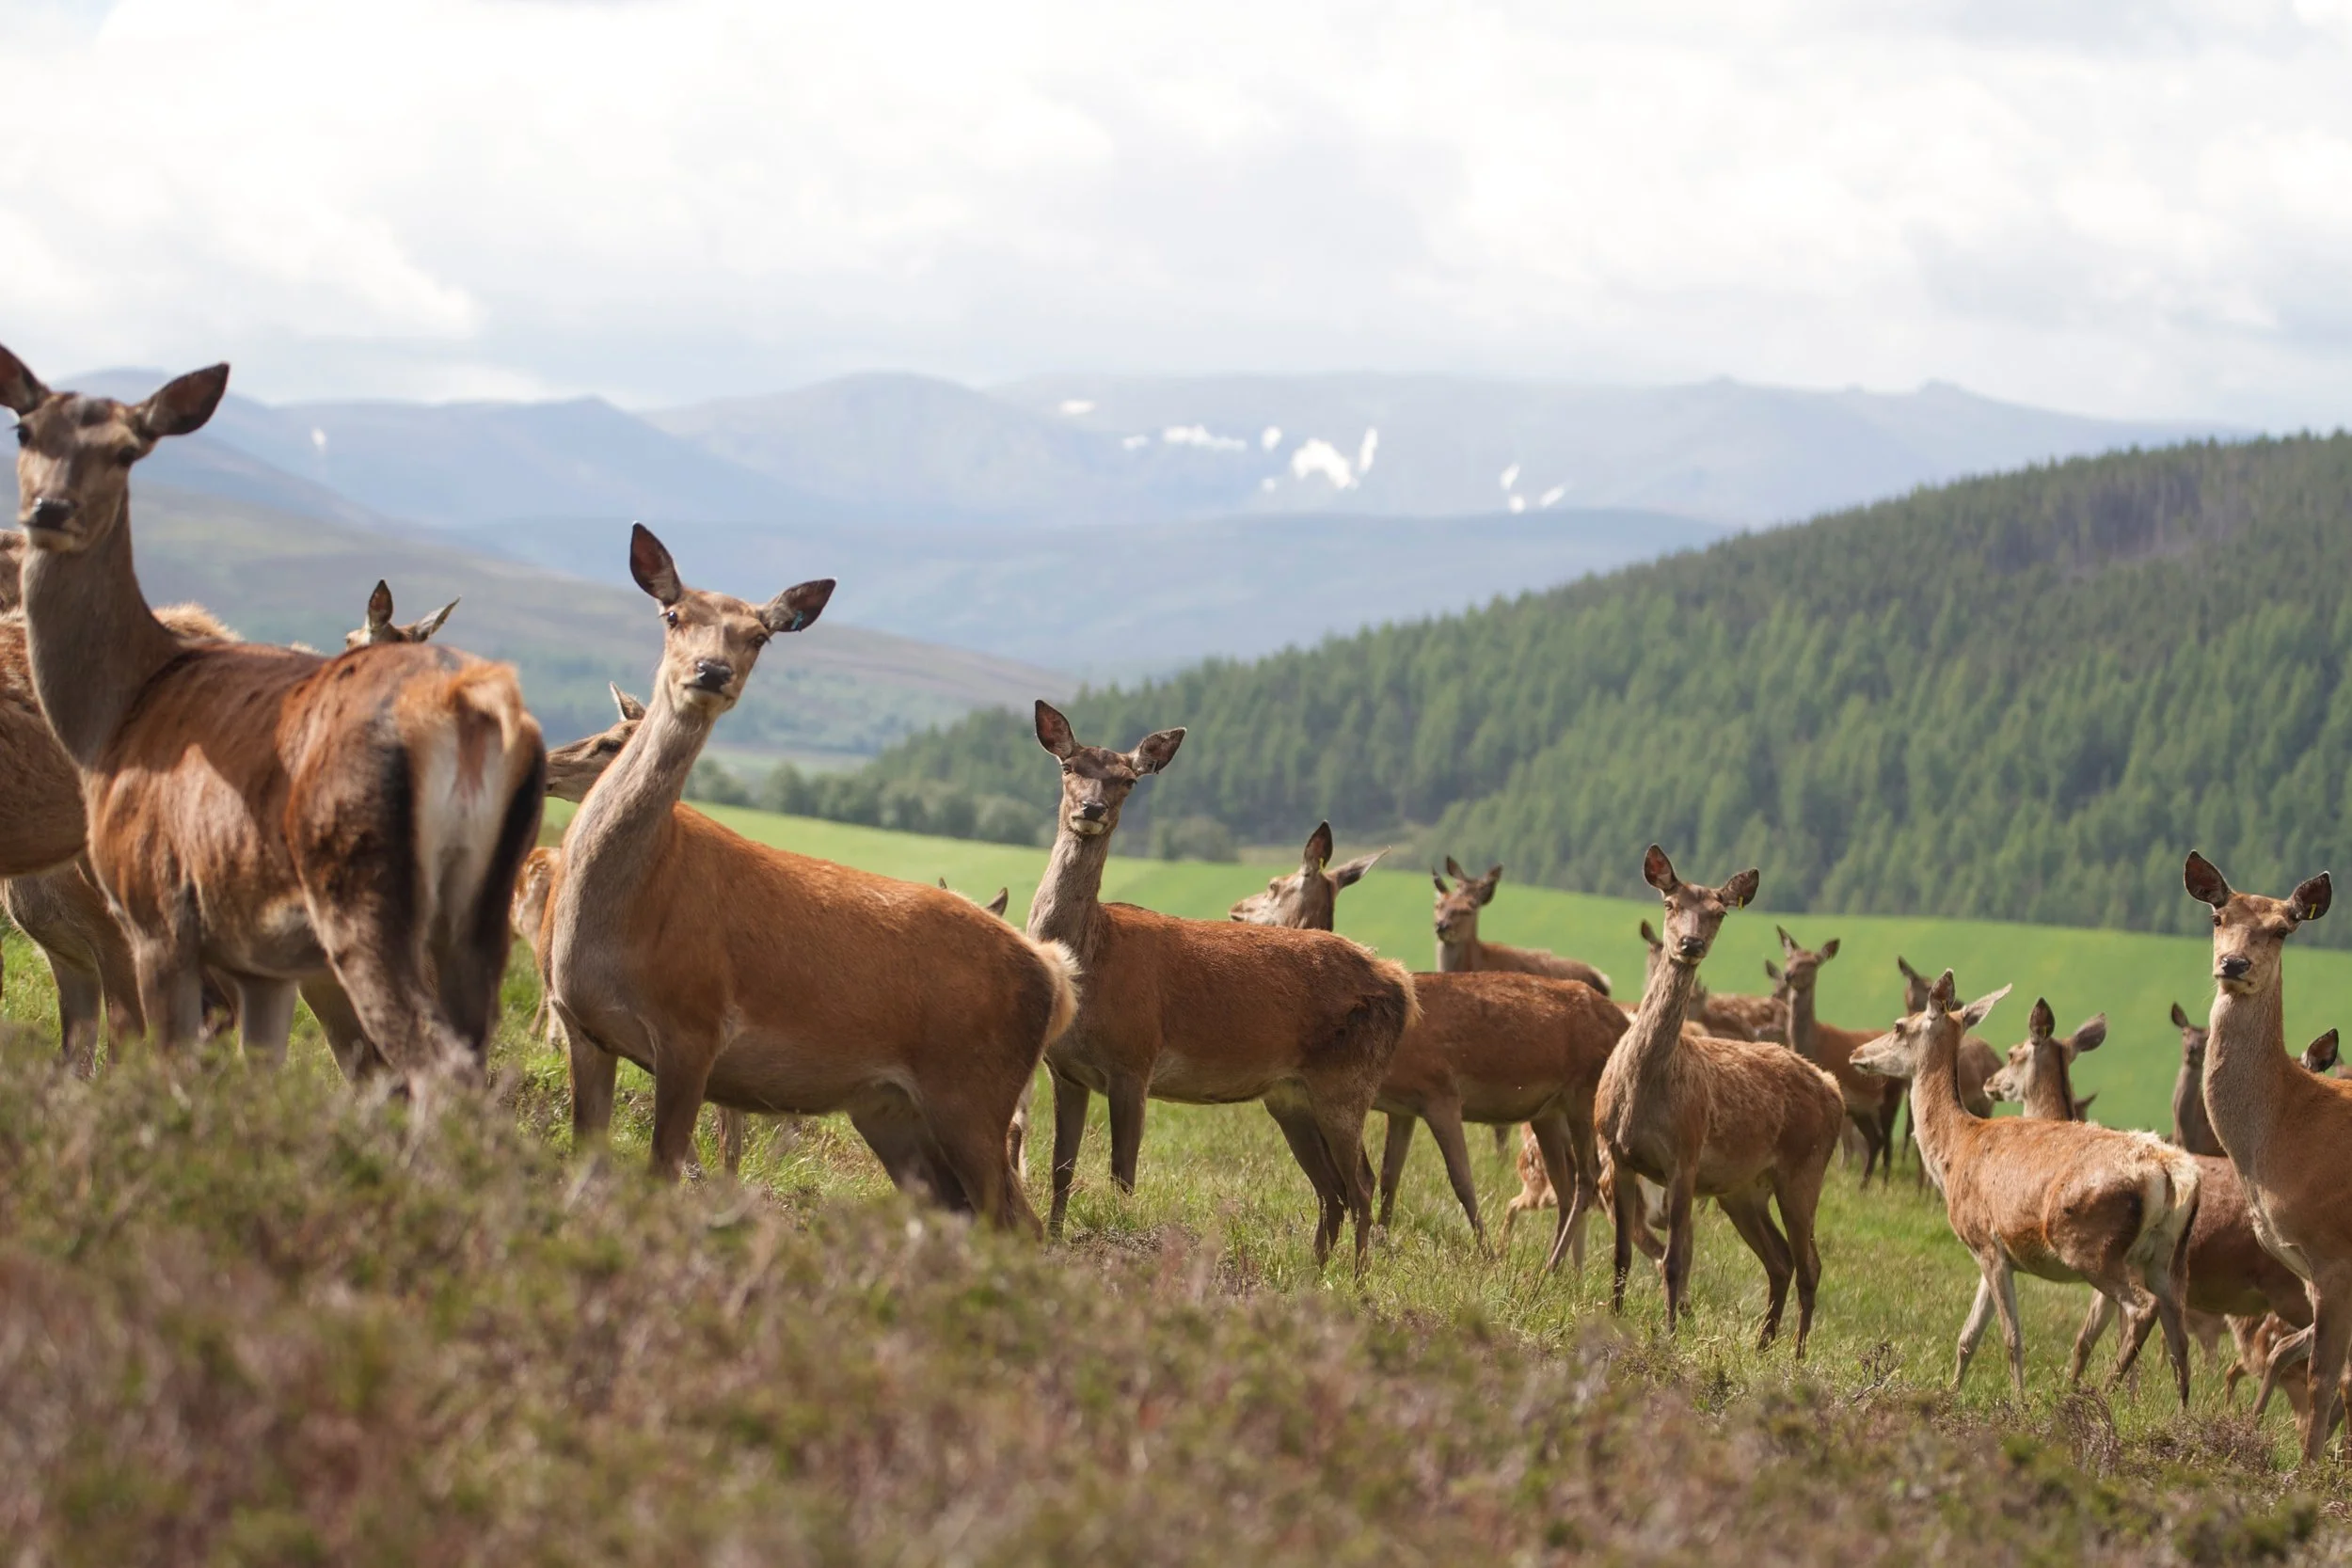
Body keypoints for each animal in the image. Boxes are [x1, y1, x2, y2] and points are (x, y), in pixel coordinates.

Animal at [546, 528, 1075, 1228]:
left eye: (759, 635)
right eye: (673, 614)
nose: (711, 672)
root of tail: (1054, 973)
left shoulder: (694, 1028)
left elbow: (662, 1175)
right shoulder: (582, 1027)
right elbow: (584, 1169)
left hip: (974, 1089)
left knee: (1017, 1222)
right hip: (891, 1107)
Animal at [1593, 847, 1843, 1353]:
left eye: (1719, 912)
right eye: (1670, 903)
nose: (1690, 944)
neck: (1643, 1091)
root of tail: (1834, 1088)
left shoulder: (1685, 1159)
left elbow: (1673, 1261)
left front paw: (1670, 1333)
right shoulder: (1618, 1154)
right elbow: (1621, 1253)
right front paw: (1615, 1317)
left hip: (1804, 1171)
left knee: (1810, 1263)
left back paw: (1796, 1355)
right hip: (1743, 1190)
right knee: (1781, 1259)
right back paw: (1762, 1345)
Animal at [1775, 927, 1906, 1186]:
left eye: (1812, 963)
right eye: (1789, 958)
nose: (1788, 975)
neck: (1812, 1045)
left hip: (1892, 1095)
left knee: (1886, 1142)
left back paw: (1883, 1186)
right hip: (1862, 1108)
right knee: (1875, 1140)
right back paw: (1863, 1186)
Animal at [1851, 971, 2203, 1405]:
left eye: (1899, 1025)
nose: (1857, 1053)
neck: (1955, 1153)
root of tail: (2174, 1175)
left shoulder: (1984, 1239)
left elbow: (2010, 1336)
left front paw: (2018, 1401)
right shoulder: (1993, 1250)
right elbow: (1968, 1336)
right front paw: (1951, 1392)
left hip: (2090, 1245)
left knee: (2141, 1310)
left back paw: (2101, 1393)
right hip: (2165, 1257)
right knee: (2179, 1339)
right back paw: (2181, 1414)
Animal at [2182, 851, 2352, 1460]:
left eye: (2283, 929)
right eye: (2217, 917)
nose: (2233, 964)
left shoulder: (2336, 1256)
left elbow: (2324, 1376)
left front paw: (2306, 1470)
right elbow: (2291, 1356)